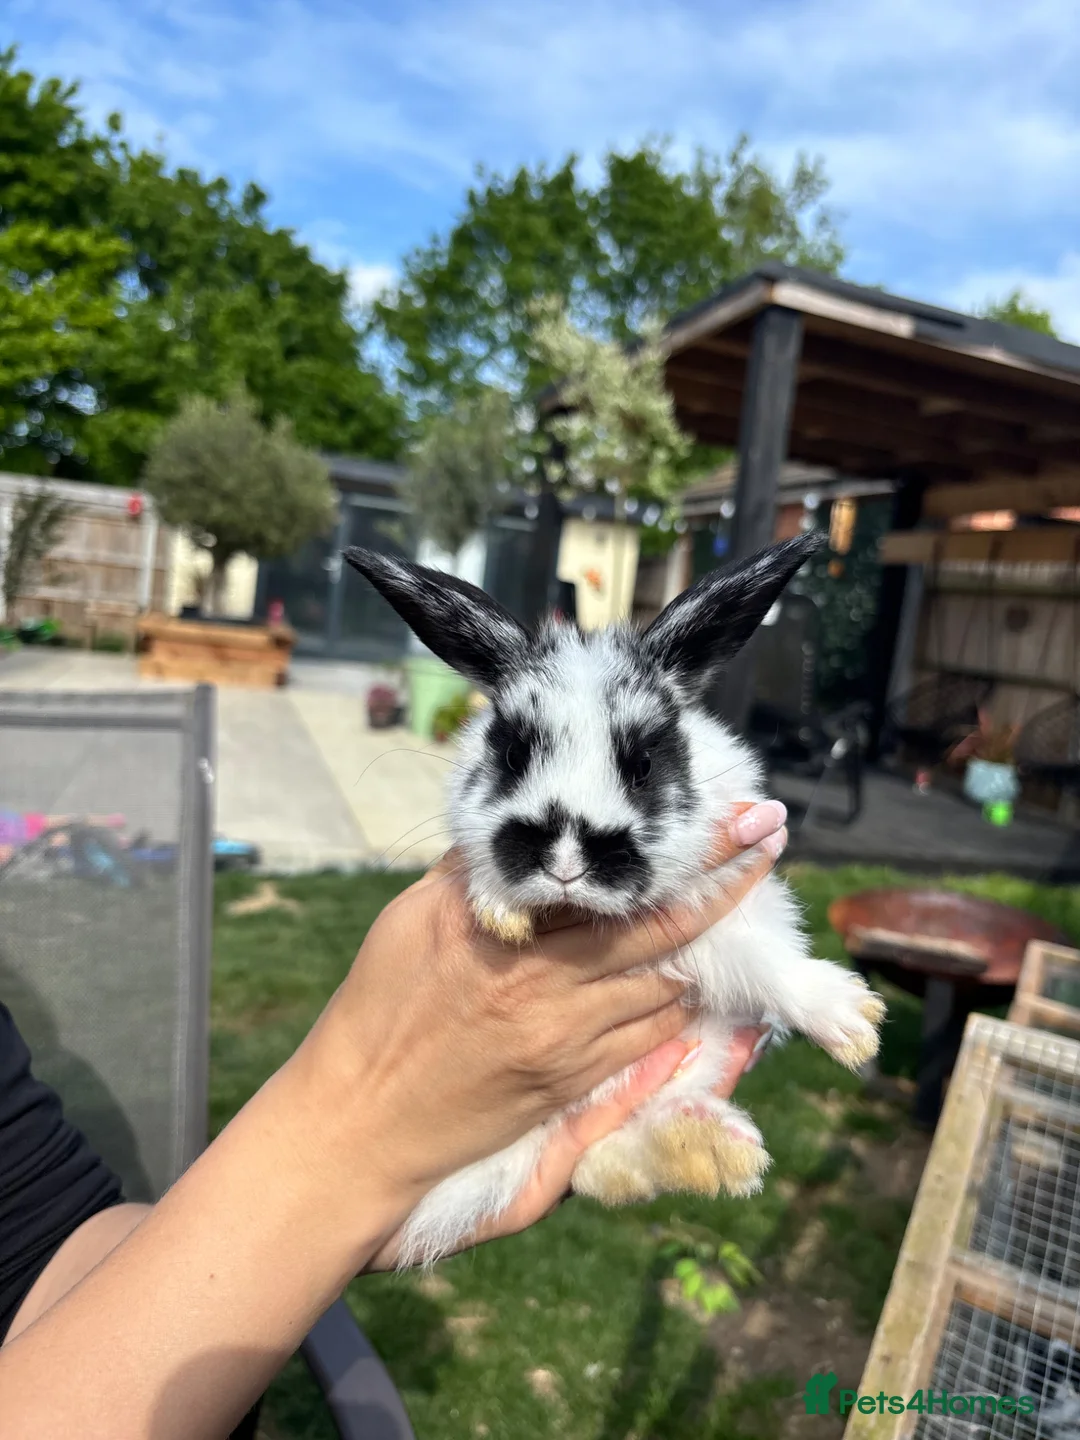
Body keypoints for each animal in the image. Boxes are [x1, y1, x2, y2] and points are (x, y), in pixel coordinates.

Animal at [343, 531, 884, 1267]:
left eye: (644, 764)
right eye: (512, 753)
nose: (567, 860)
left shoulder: (716, 915)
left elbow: (760, 961)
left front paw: (852, 1024)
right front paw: (500, 911)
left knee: (604, 1157)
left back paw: (708, 1151)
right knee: (596, 1163)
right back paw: (703, 1152)